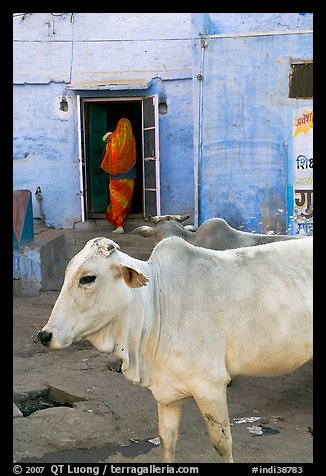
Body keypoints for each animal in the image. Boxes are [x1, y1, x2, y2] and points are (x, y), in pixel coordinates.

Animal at [38, 236, 314, 462]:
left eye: (87, 278)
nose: (45, 335)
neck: (155, 303)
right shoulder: (167, 393)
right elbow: (167, 441)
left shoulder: (211, 387)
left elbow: (222, 444)